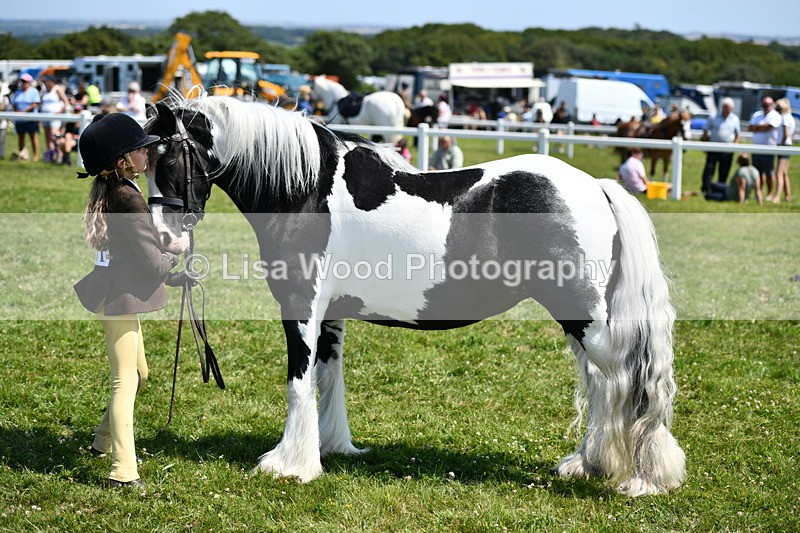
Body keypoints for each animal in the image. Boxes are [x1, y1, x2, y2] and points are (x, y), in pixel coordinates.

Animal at [145, 95, 685, 497]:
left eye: (168, 158)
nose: (164, 239)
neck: (305, 189)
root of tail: (596, 187)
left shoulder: (300, 307)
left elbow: (299, 381)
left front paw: (289, 464)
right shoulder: (331, 316)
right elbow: (328, 378)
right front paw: (332, 447)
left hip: (585, 319)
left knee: (632, 383)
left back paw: (643, 479)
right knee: (603, 386)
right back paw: (589, 464)